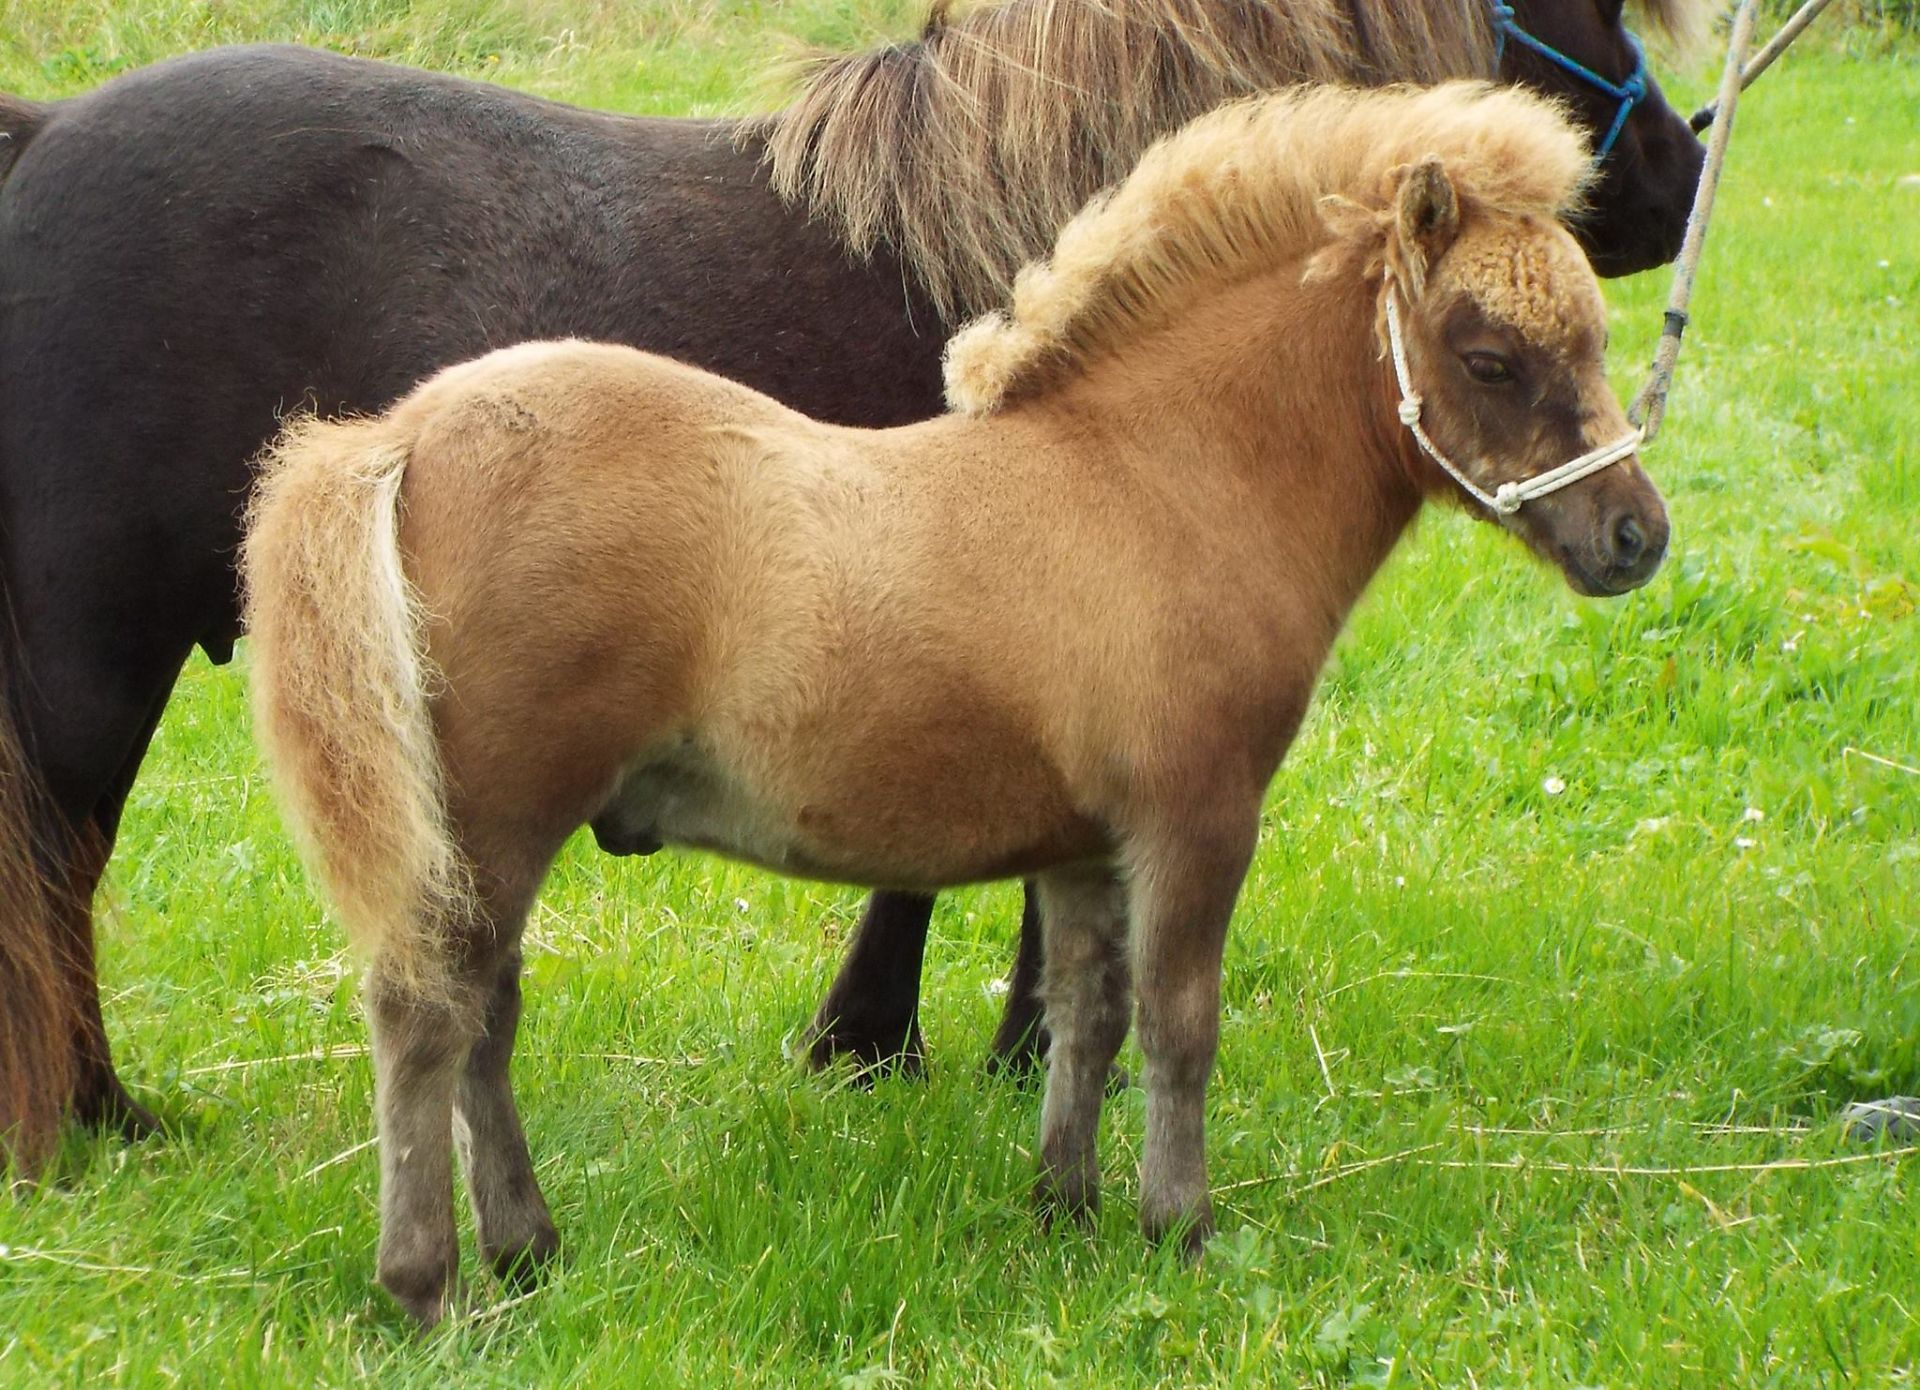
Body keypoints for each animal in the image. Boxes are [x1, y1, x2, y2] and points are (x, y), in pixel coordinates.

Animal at [0, 0, 1712, 1174]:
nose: (1686, 169)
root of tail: (47, 133)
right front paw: (927, 1042)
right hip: (91, 662)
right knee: (55, 870)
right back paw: (92, 1117)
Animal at [247, 86, 1666, 1328]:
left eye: (1595, 336)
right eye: (1491, 358)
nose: (1633, 535)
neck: (1159, 482)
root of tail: (404, 436)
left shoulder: (1086, 846)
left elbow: (1085, 1018)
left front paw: (1065, 1209)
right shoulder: (1198, 819)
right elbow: (1182, 1023)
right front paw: (1181, 1230)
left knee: (486, 1018)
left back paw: (529, 1249)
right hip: (494, 819)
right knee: (429, 1017)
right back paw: (430, 1286)